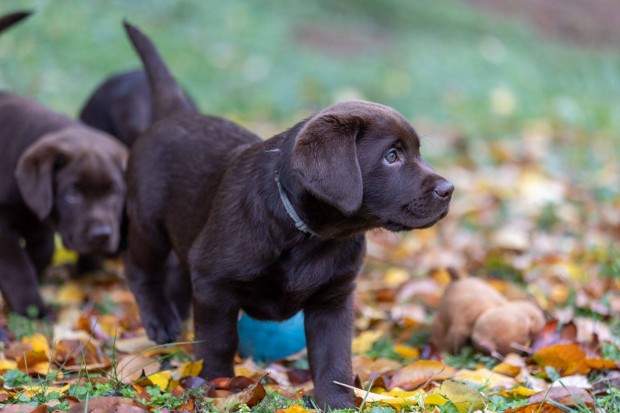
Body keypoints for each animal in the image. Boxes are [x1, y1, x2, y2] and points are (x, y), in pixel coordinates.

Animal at [0, 91, 127, 314]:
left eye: (114, 193)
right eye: (71, 193)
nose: (101, 235)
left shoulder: (41, 222)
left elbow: (44, 251)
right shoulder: (3, 228)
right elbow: (17, 269)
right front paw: (32, 308)